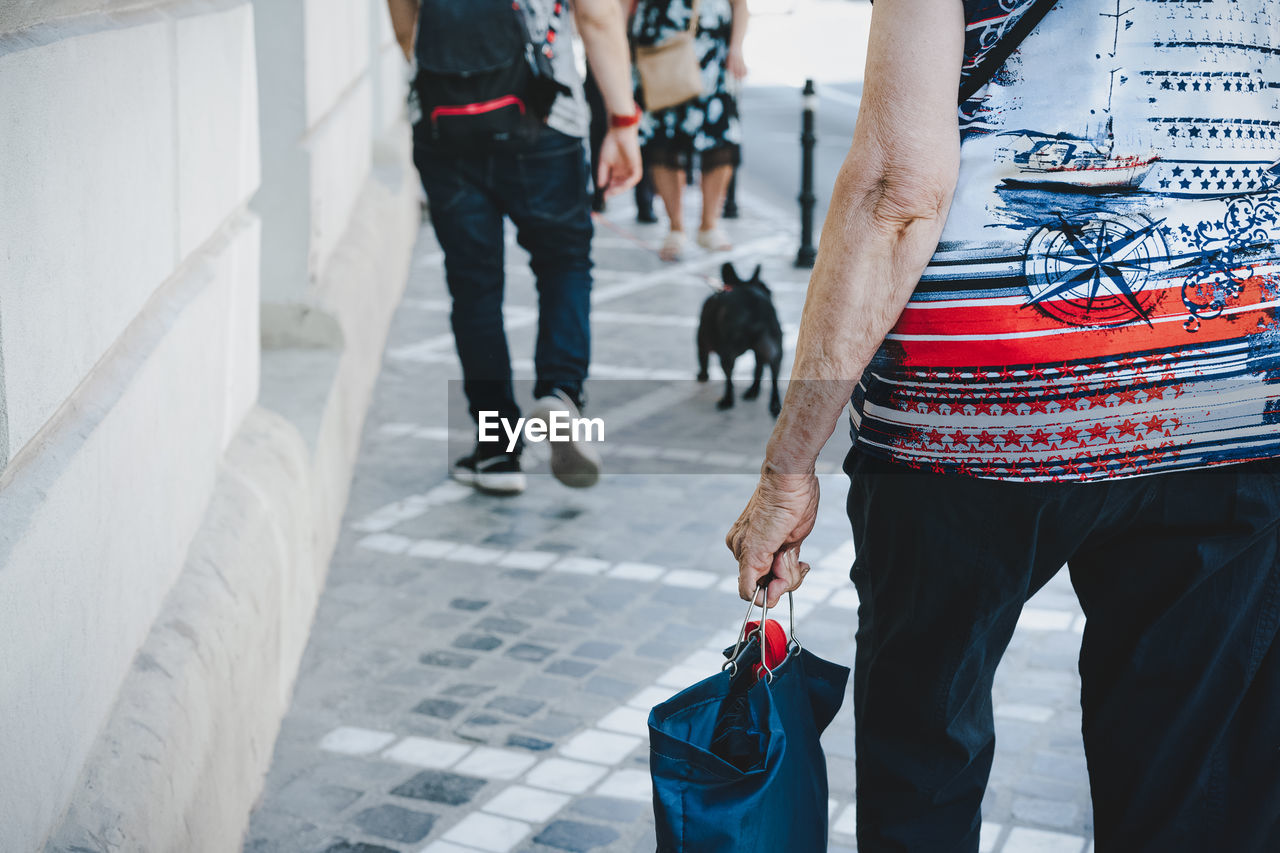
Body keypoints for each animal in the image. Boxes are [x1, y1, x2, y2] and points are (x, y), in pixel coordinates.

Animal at [701, 262, 778, 414]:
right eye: (767, 289)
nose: (771, 292)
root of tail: (755, 305)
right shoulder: (760, 351)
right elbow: (758, 369)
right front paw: (754, 390)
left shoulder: (702, 339)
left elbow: (703, 359)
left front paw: (702, 376)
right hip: (774, 346)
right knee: (773, 373)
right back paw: (773, 402)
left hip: (727, 352)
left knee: (729, 377)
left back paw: (727, 400)